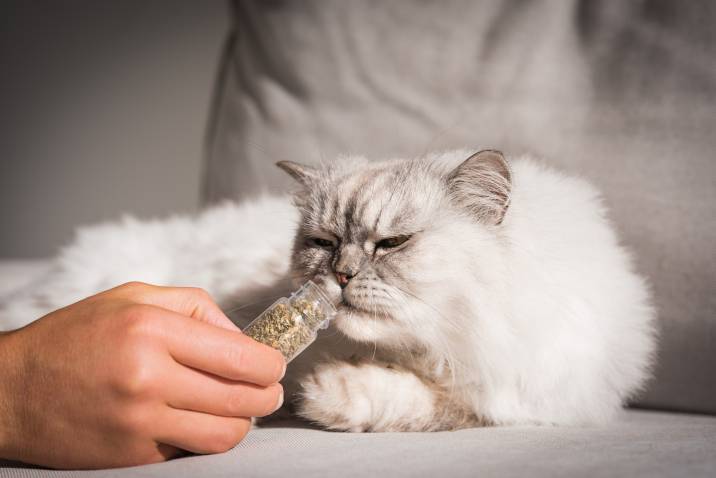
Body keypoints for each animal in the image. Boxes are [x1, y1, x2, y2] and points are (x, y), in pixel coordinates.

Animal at [0, 150, 656, 434]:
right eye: (322, 241)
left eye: (391, 244)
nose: (338, 275)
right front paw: (312, 396)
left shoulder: (514, 395)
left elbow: (425, 406)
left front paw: (327, 397)